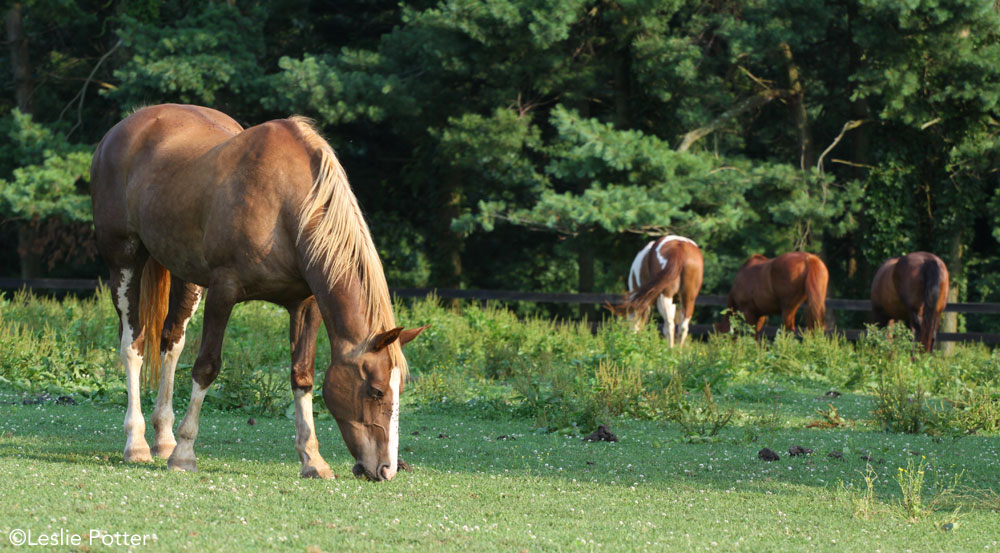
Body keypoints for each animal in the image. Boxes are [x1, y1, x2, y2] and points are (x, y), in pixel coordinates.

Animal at [89, 103, 426, 478]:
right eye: (377, 391)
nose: (386, 469)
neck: (287, 207)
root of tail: (127, 125)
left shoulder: (305, 304)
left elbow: (302, 376)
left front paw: (313, 459)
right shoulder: (223, 291)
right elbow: (206, 367)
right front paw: (185, 453)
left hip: (187, 276)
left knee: (171, 343)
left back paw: (163, 440)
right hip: (125, 260)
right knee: (133, 345)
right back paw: (137, 443)